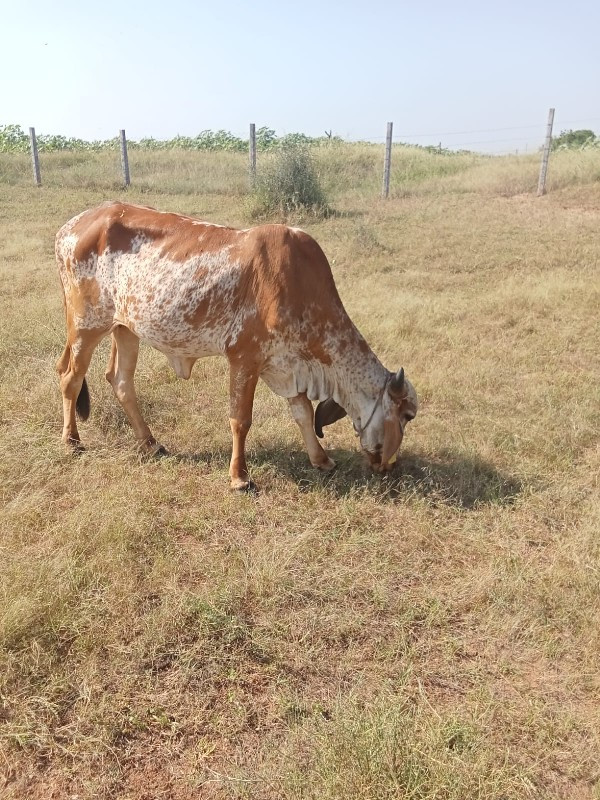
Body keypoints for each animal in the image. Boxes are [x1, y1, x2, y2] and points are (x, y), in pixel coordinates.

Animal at [57, 203, 418, 490]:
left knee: (120, 381)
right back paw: (72, 442)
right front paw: (240, 477)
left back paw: (150, 443)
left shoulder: (285, 365)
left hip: (126, 329)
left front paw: (322, 460)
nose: (390, 466)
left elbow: (302, 413)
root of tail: (70, 226)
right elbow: (240, 420)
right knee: (70, 378)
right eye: (408, 415)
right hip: (86, 325)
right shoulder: (244, 358)